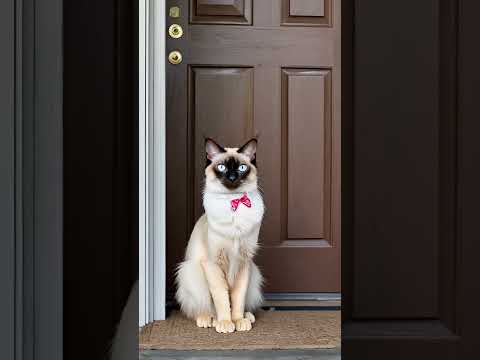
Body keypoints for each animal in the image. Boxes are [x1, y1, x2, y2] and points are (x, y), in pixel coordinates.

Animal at [176, 137, 264, 332]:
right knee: (203, 308)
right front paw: (225, 323)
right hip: (192, 271)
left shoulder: (243, 261)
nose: (231, 177)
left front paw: (237, 321)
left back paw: (246, 317)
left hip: (253, 272)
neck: (234, 202)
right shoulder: (214, 264)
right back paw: (209, 320)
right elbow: (222, 299)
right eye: (222, 167)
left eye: (242, 168)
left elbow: (237, 298)